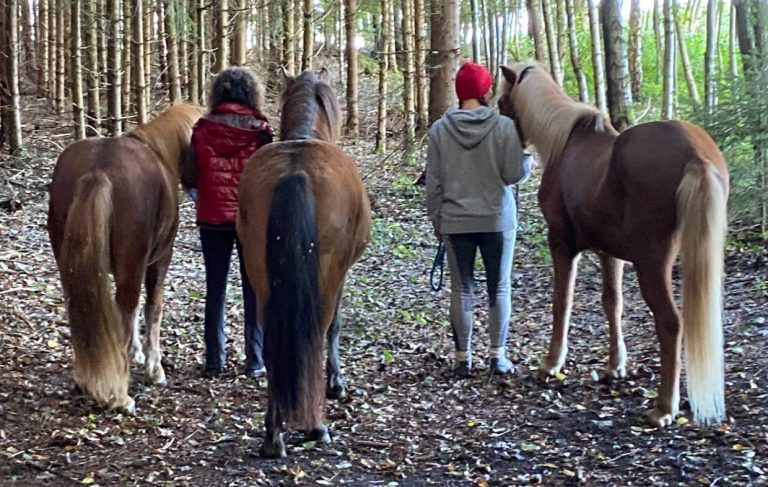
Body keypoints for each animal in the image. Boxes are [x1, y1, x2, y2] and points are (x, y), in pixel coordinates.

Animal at [46, 105, 202, 414]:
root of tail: (98, 171)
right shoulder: (157, 260)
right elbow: (152, 307)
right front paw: (154, 369)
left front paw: (136, 353)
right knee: (126, 309)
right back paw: (119, 394)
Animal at [240, 70, 372, 460]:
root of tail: (294, 172)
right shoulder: (341, 275)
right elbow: (336, 327)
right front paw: (336, 384)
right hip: (324, 279)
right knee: (316, 333)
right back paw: (316, 426)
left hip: (262, 278)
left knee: (274, 346)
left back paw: (273, 436)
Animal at [500, 62, 728, 428]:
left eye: (502, 100)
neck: (566, 143)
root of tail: (696, 155)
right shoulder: (609, 253)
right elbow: (612, 304)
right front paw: (614, 366)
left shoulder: (561, 243)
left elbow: (561, 302)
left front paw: (550, 363)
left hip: (652, 264)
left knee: (671, 323)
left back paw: (663, 408)